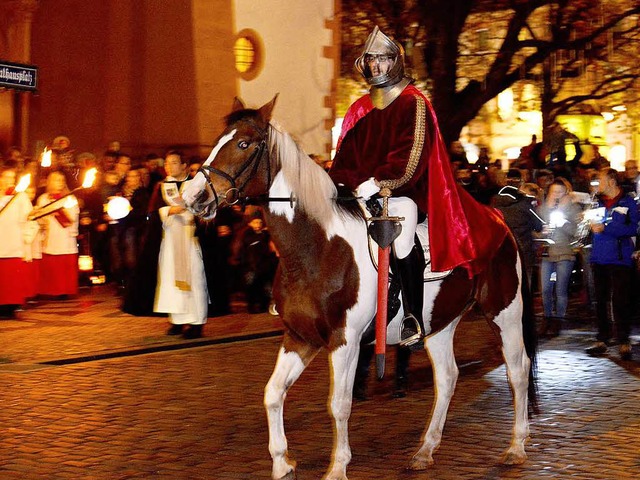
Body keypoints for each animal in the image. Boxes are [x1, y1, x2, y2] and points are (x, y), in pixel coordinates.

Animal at [182, 96, 536, 480]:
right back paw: (425, 451)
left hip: (505, 312)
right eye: (218, 140)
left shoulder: (345, 340)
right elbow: (273, 393)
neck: (317, 248)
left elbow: (339, 404)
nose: (192, 195)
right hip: (439, 323)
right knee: (447, 378)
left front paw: (337, 467)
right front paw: (281, 463)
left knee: (517, 370)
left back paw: (516, 447)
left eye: (244, 144)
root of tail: (499, 220)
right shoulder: (300, 337)